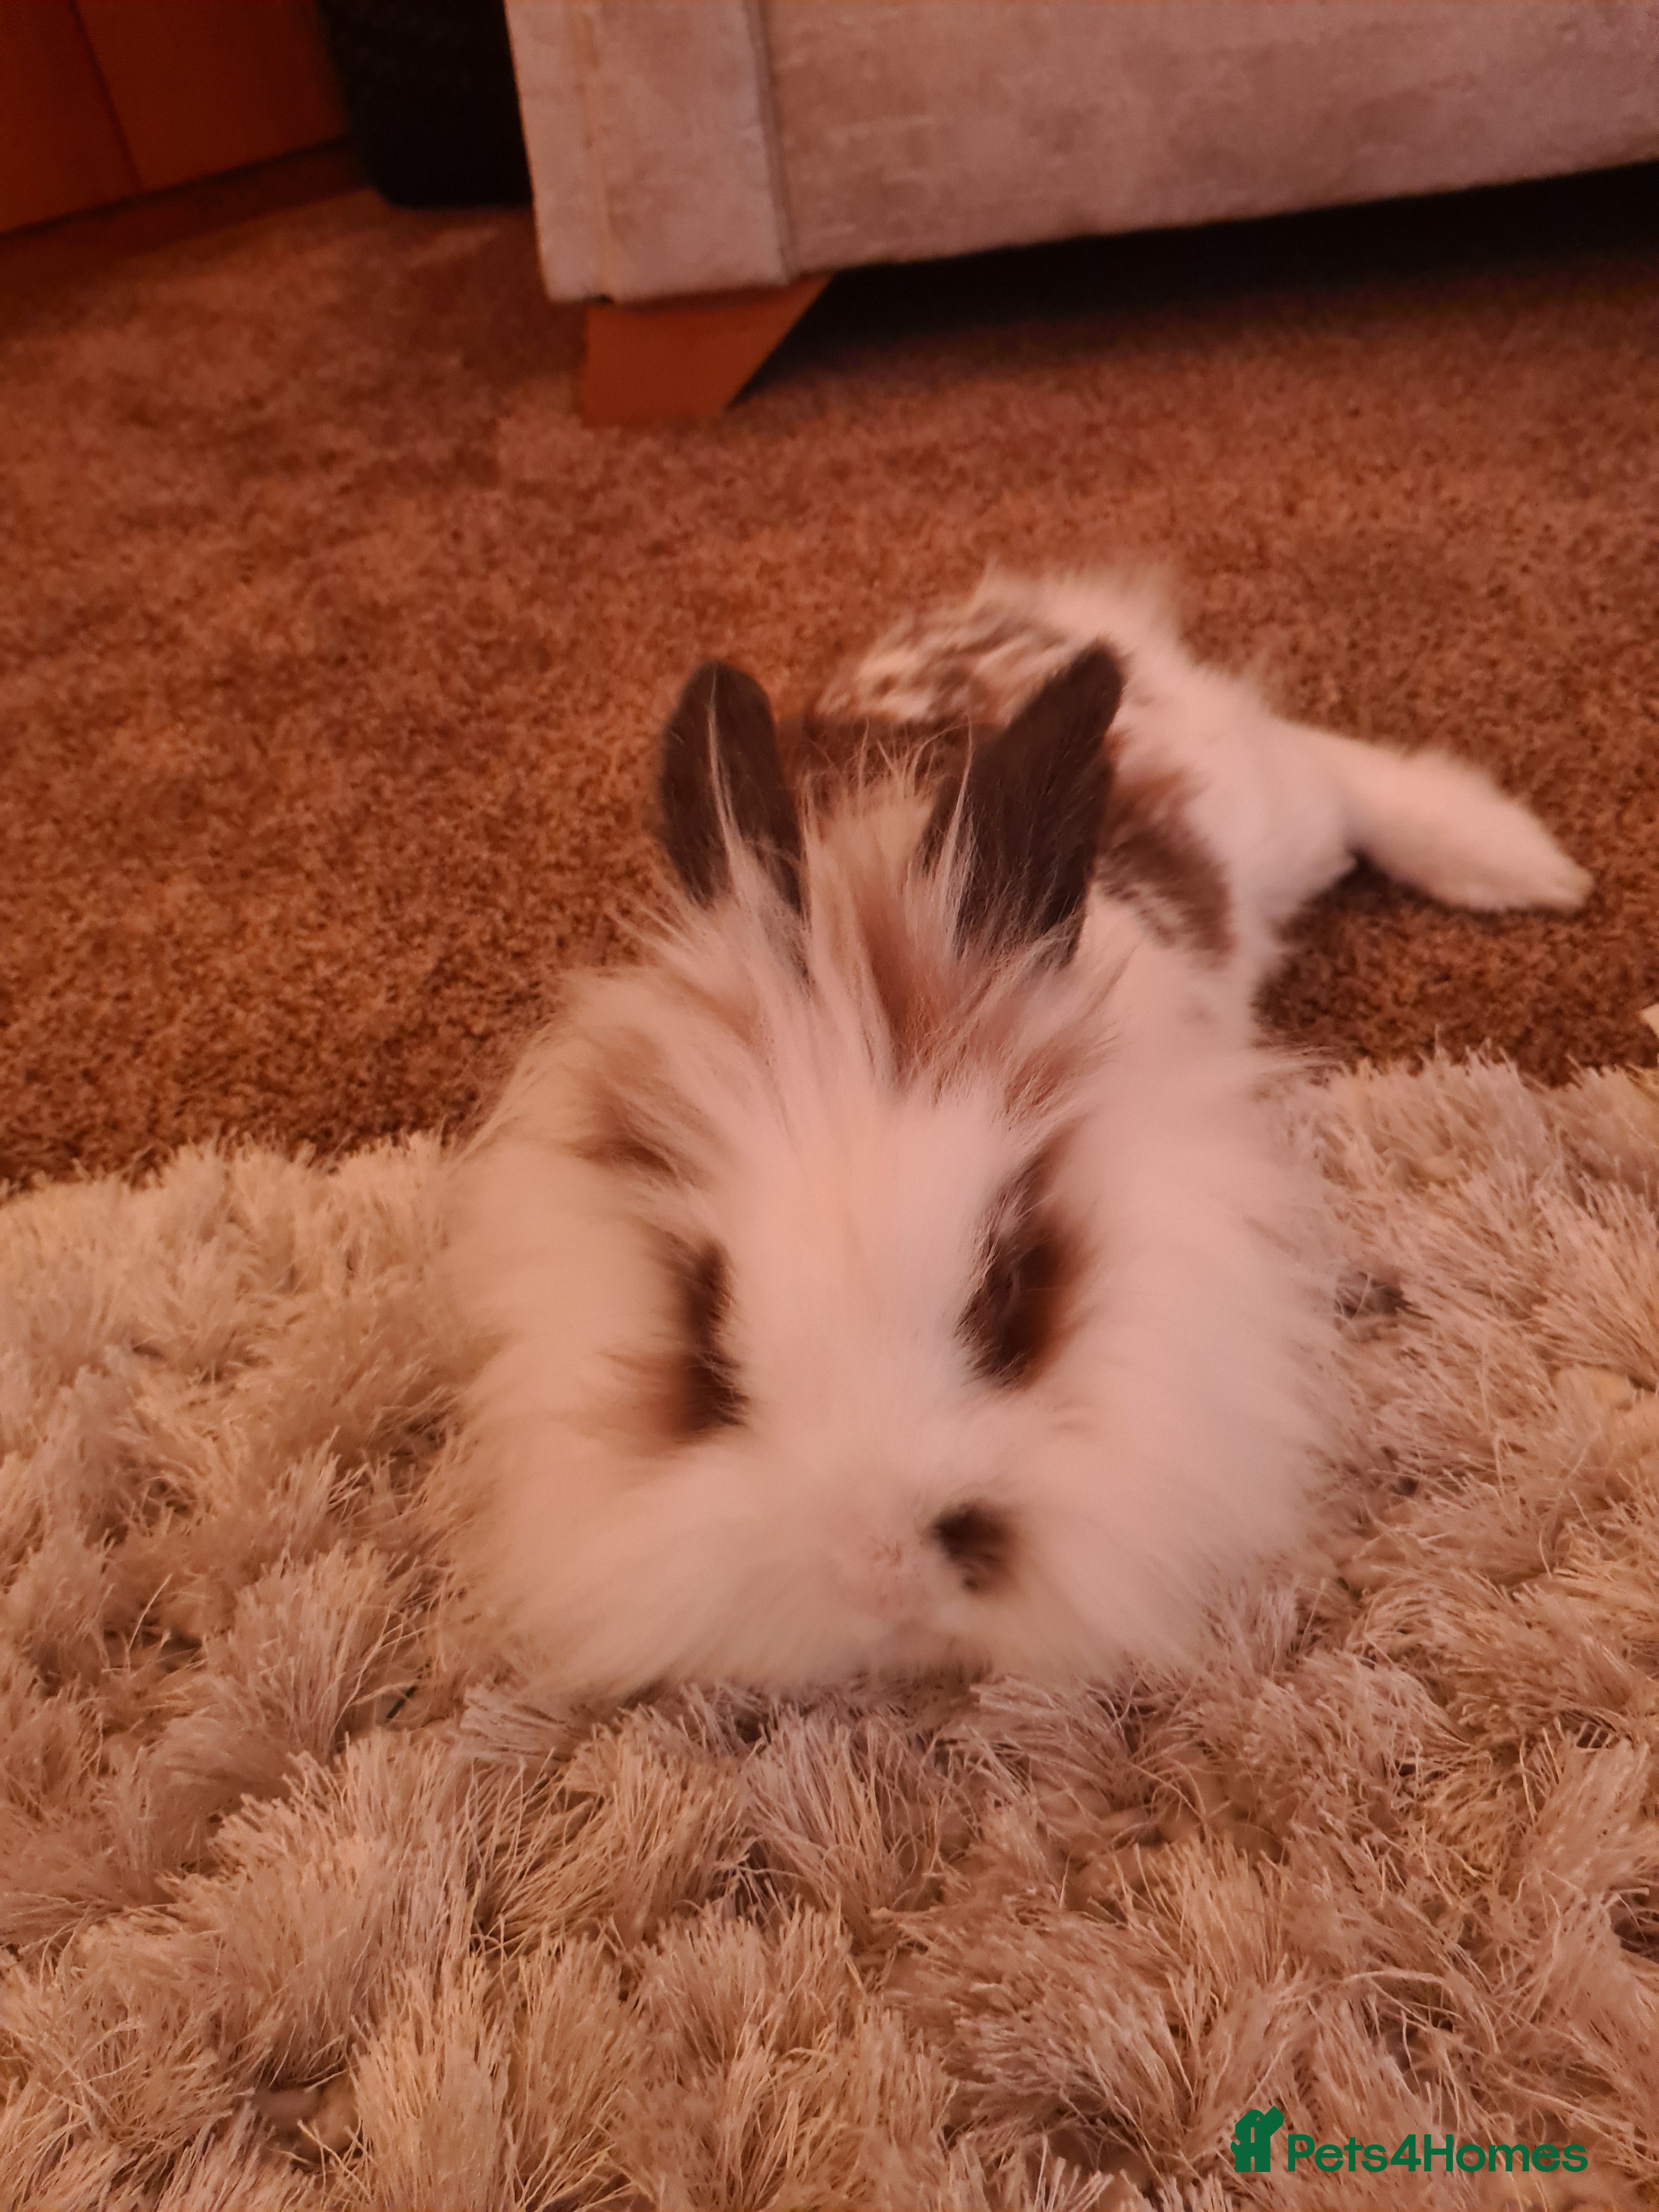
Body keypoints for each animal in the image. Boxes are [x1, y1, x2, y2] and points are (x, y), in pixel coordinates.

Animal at [444, 569, 1591, 1697]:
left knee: (1328, 768)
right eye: (705, 1336)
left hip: (1266, 815)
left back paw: (1520, 864)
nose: (880, 1574)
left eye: (1006, 1295)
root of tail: (1023, 609)